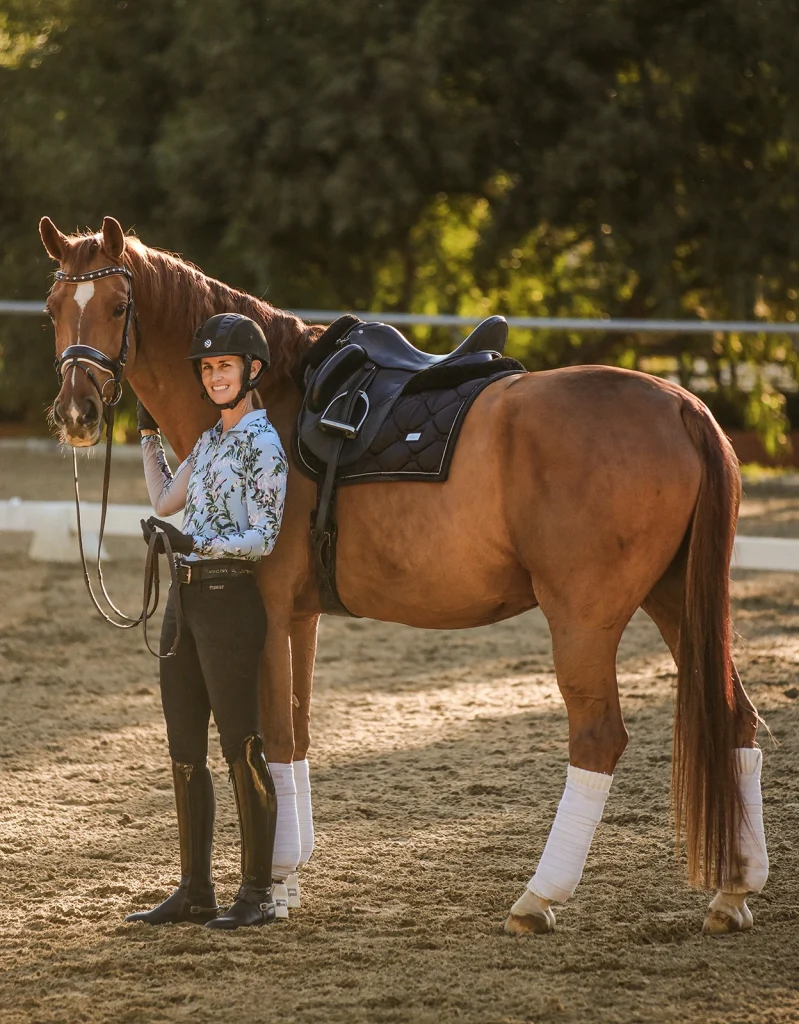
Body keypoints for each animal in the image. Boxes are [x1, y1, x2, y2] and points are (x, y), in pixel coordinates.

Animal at [39, 215, 767, 936]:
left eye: (118, 305)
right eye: (52, 307)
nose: (76, 413)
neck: (273, 398)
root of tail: (680, 405)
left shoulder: (267, 608)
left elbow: (272, 735)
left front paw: (271, 886)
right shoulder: (298, 616)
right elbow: (297, 733)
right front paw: (288, 878)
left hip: (584, 618)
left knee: (598, 738)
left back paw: (538, 898)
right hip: (674, 600)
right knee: (736, 719)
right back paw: (732, 892)